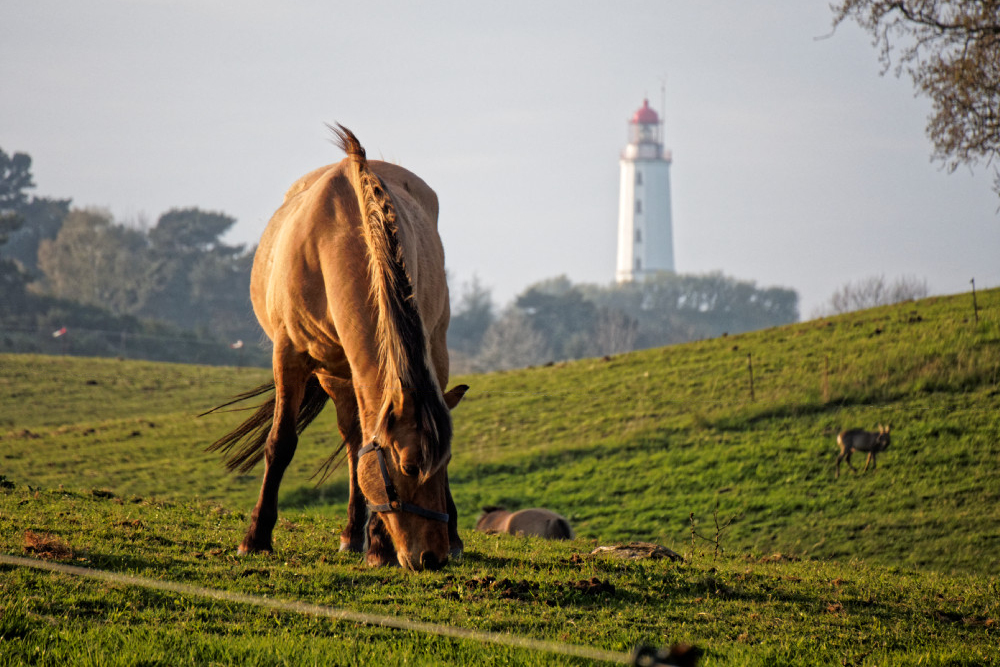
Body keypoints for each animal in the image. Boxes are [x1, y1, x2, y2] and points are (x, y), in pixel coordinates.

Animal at [206, 126, 468, 576]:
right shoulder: (290, 355)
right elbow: (282, 443)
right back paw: (351, 534)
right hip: (333, 372)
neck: (336, 236)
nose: (431, 558)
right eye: (409, 466)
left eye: (444, 462)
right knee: (351, 440)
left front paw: (379, 545)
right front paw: (255, 538)